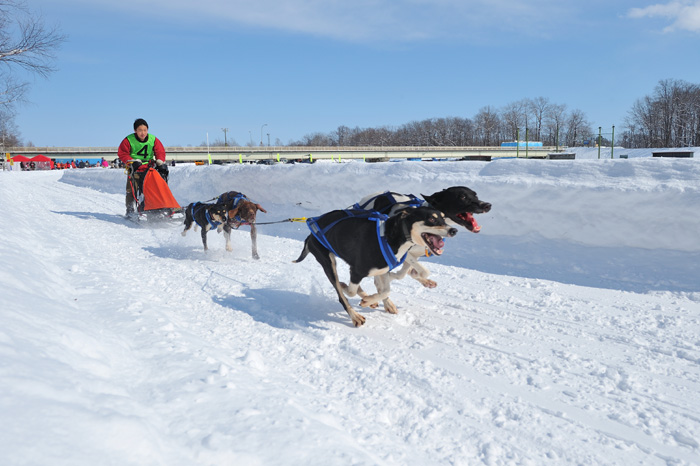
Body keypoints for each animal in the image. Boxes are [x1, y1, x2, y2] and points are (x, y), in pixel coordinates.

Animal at [292, 208, 456, 328]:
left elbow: (385, 290)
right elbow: (350, 291)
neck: (390, 238)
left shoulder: (384, 268)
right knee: (342, 295)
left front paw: (368, 300)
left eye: (443, 218)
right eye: (432, 219)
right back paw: (355, 316)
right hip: (328, 263)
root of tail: (309, 236)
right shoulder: (356, 271)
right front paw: (355, 292)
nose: (454, 230)